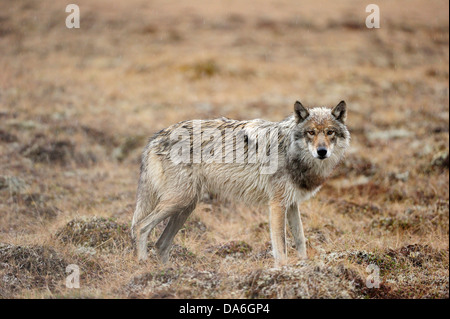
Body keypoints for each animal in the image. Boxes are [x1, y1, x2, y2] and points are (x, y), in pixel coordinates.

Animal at [132, 101, 350, 266]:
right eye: (311, 133)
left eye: (330, 132)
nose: (322, 152)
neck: (290, 150)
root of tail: (155, 138)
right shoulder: (277, 204)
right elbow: (281, 246)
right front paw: (283, 270)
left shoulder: (292, 204)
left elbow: (300, 240)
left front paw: (305, 266)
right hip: (179, 202)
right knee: (141, 227)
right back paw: (144, 266)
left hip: (186, 206)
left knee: (161, 244)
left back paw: (168, 273)